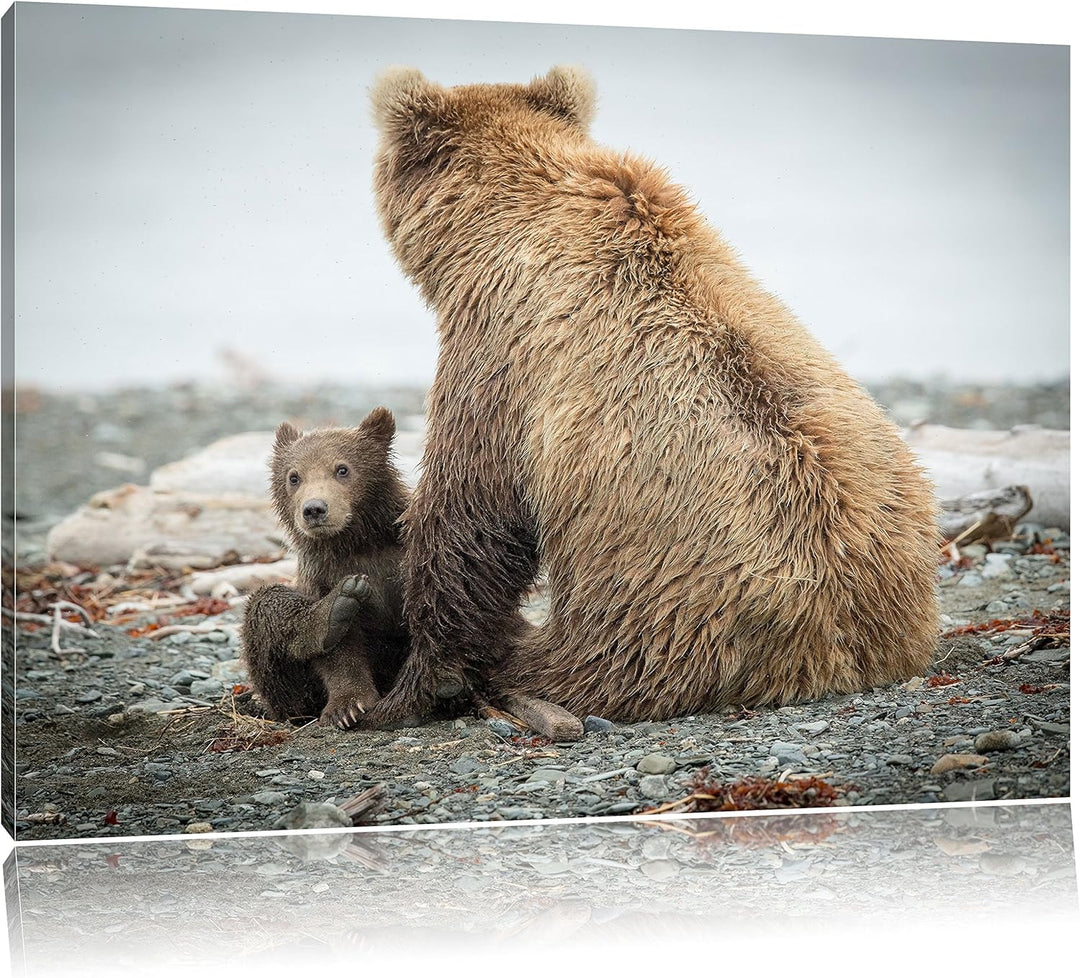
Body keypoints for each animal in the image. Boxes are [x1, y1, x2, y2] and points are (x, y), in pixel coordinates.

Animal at [240, 407, 411, 729]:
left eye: (342, 469)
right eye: (294, 477)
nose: (314, 509)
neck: (356, 542)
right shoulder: (322, 575)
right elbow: (339, 653)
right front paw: (348, 706)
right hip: (290, 694)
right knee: (267, 603)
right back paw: (333, 611)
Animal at [357, 65, 941, 730]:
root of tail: (844, 649)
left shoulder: (499, 351)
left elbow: (470, 514)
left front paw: (410, 688)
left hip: (657, 615)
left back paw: (514, 669)